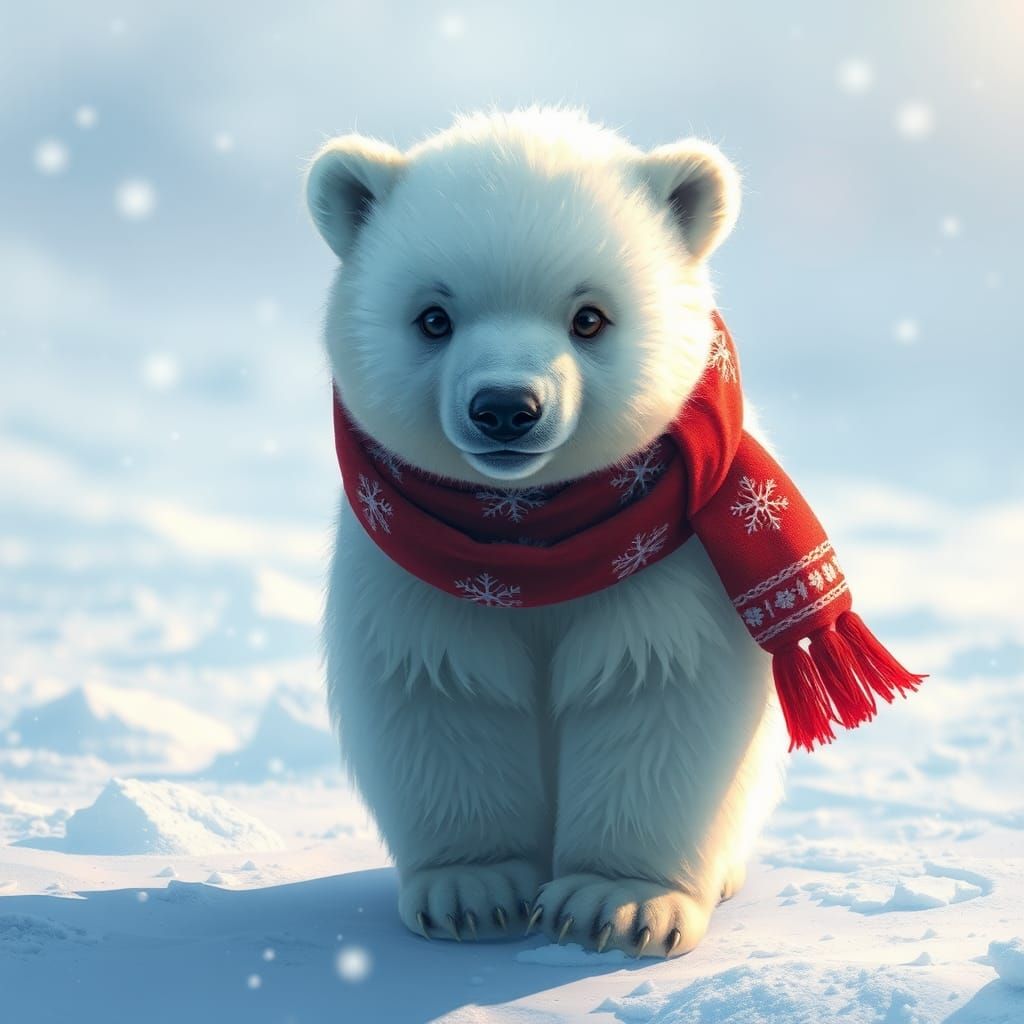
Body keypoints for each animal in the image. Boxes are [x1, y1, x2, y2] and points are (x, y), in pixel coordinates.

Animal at [306, 105, 787, 958]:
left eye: (589, 317)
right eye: (434, 317)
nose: (505, 407)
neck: (533, 539)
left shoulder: (671, 565)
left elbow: (653, 684)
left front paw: (618, 905)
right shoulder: (414, 575)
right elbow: (445, 683)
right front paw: (474, 891)